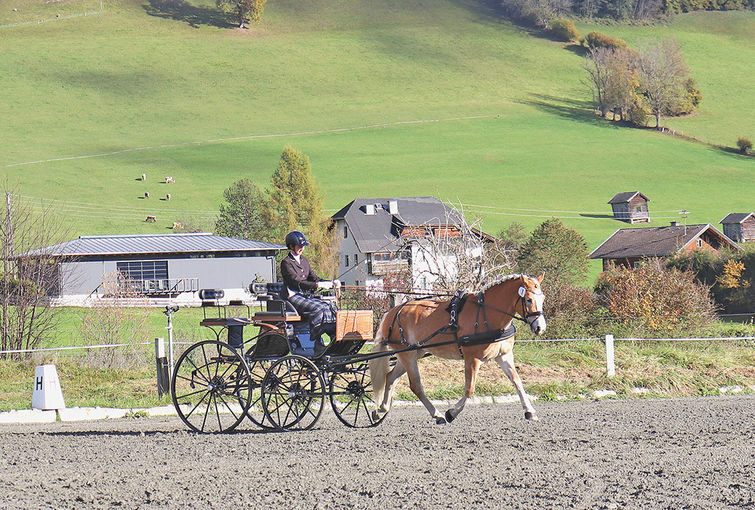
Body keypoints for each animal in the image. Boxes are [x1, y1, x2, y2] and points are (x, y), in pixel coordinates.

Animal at [370, 272, 544, 424]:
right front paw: (451, 413)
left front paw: (530, 411)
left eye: (542, 298)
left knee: (391, 377)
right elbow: (470, 389)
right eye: (528, 299)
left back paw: (381, 409)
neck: (487, 313)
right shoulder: (472, 358)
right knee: (416, 386)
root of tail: (393, 312)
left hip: (412, 353)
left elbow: (517, 381)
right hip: (409, 355)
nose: (540, 327)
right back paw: (437, 414)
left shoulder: (504, 355)